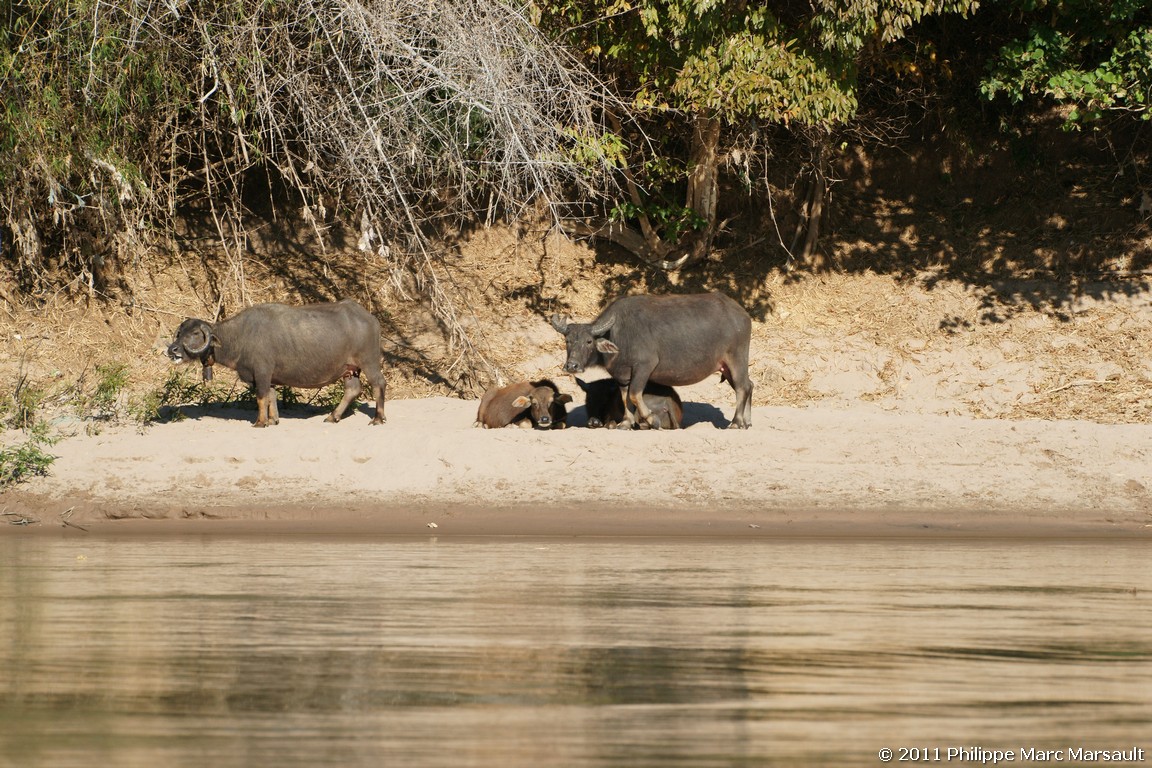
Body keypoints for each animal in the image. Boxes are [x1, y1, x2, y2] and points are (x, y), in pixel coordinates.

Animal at [164, 299, 387, 430]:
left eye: (195, 333)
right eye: (180, 333)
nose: (172, 349)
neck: (240, 337)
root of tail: (371, 318)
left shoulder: (262, 372)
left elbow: (261, 397)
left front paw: (260, 422)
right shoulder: (267, 377)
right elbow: (271, 396)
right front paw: (273, 420)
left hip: (369, 362)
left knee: (379, 384)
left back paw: (378, 418)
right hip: (349, 370)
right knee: (353, 389)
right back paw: (333, 416)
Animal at [550, 291, 755, 430]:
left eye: (589, 341)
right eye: (568, 341)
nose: (572, 365)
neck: (618, 334)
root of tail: (742, 314)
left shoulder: (644, 366)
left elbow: (635, 394)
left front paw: (650, 419)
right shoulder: (622, 376)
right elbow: (625, 397)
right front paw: (626, 423)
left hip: (737, 358)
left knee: (742, 387)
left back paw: (736, 422)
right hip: (725, 366)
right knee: (749, 385)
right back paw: (747, 421)